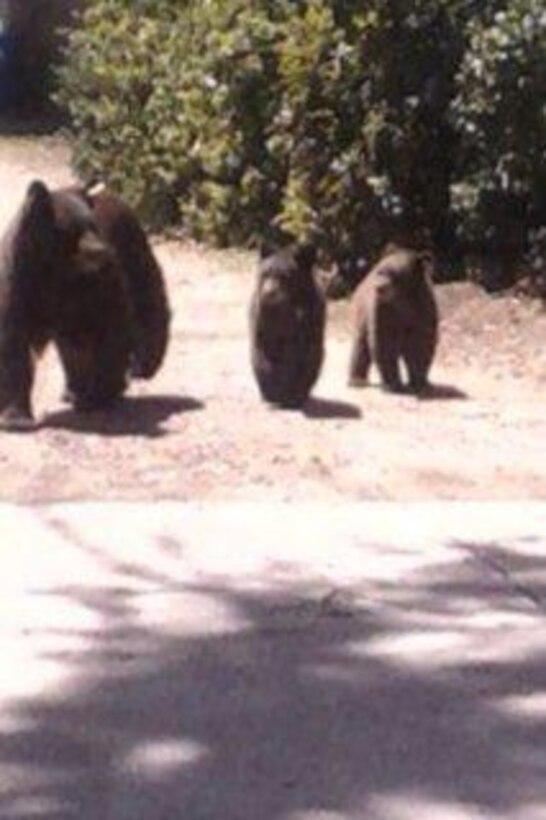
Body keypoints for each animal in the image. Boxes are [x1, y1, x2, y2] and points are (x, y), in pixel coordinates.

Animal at [0, 179, 169, 430]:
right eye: (73, 228)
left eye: (93, 225)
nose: (103, 249)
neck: (58, 269)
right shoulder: (18, 280)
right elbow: (11, 342)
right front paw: (16, 418)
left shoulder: (98, 280)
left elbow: (111, 324)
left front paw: (100, 396)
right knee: (72, 346)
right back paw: (73, 391)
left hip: (133, 245)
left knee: (148, 296)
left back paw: (140, 367)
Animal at [348, 247, 438, 394]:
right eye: (380, 271)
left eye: (393, 273)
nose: (379, 287)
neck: (403, 300)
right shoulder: (383, 309)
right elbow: (385, 342)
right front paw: (393, 384)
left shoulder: (423, 309)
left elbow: (421, 343)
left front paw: (419, 384)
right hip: (361, 313)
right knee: (361, 345)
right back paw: (357, 381)